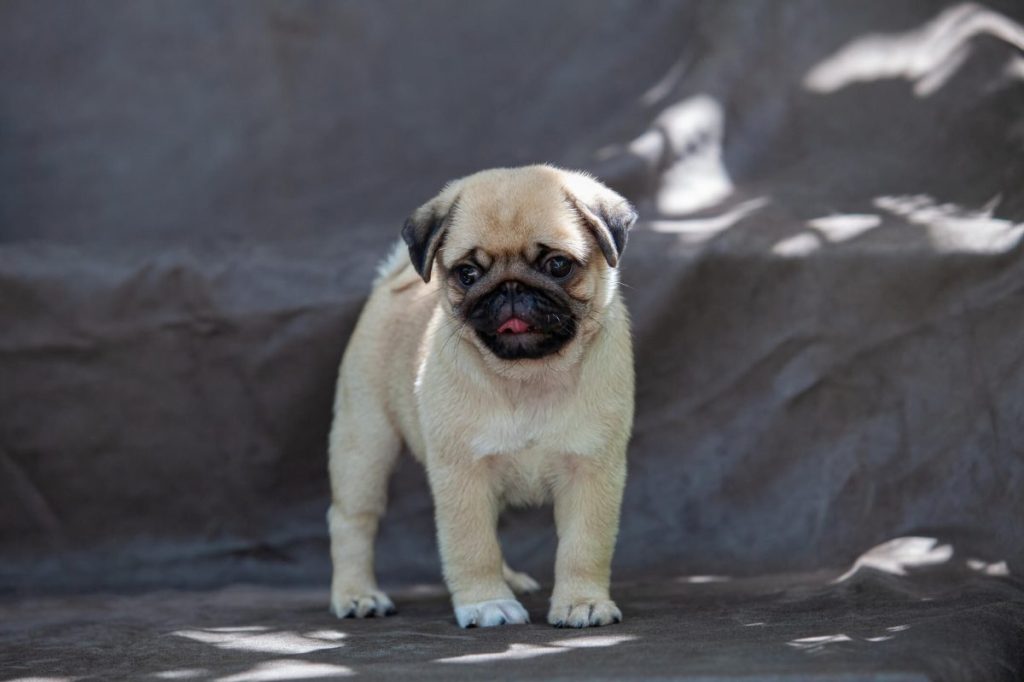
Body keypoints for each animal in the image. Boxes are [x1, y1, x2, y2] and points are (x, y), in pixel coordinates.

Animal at [327, 163, 634, 626]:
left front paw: (582, 602)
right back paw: (357, 594)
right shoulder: (463, 474)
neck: (529, 376)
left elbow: (584, 546)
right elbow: (472, 545)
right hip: (364, 445)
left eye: (558, 264)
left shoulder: (592, 469)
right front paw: (486, 601)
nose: (510, 288)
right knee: (352, 521)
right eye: (468, 274)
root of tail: (389, 283)